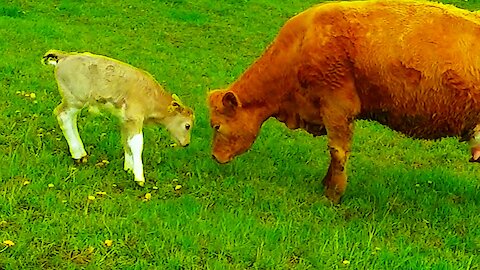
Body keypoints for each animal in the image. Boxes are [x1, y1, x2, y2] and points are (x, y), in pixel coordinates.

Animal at [43, 49, 193, 186]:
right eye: (187, 125)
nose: (186, 143)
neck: (151, 96)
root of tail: (64, 56)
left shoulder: (125, 120)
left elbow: (126, 140)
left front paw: (129, 168)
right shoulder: (135, 118)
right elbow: (137, 143)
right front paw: (139, 177)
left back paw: (81, 154)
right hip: (75, 99)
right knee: (63, 116)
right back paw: (78, 154)